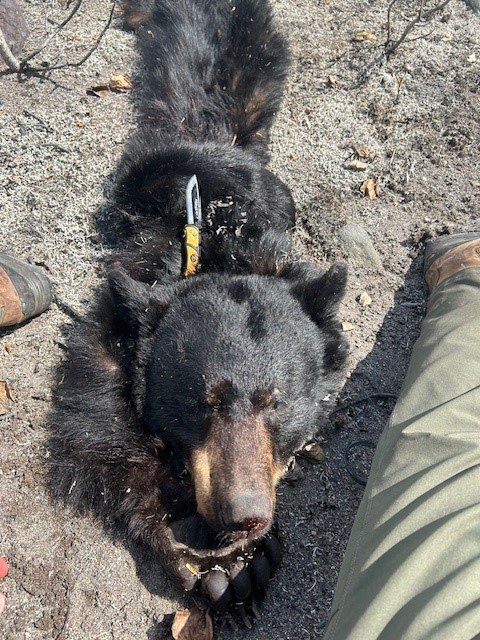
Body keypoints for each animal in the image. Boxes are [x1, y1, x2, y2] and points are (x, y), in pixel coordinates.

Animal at [49, 0, 348, 614]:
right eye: (200, 402)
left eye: (278, 403)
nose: (243, 517)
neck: (211, 243)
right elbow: (98, 426)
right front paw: (198, 551)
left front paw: (245, 562)